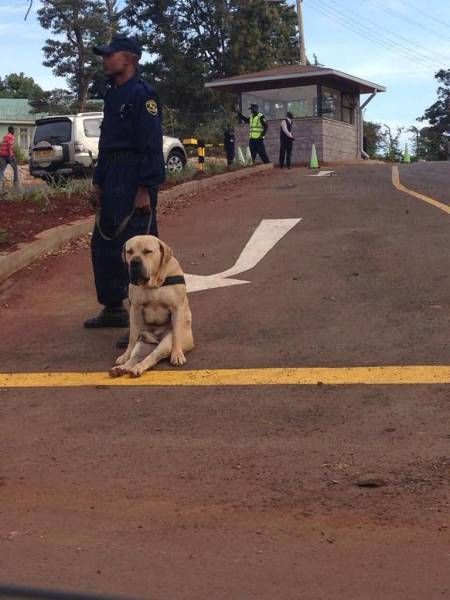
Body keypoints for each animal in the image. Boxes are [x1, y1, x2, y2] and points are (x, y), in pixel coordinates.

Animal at [110, 233, 193, 378]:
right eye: (129, 252)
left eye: (147, 251)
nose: (135, 262)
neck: (153, 283)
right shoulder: (135, 309)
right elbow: (132, 337)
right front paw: (125, 355)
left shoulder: (177, 308)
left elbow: (177, 334)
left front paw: (177, 355)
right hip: (142, 345)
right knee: (135, 358)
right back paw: (121, 368)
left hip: (165, 343)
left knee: (152, 357)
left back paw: (137, 369)